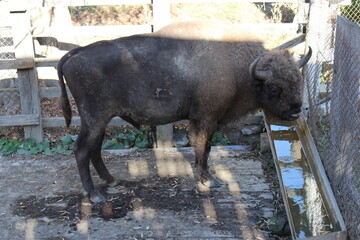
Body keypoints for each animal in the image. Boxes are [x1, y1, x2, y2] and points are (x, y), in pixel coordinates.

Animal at [57, 21, 310, 202]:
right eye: (275, 88)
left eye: (298, 79)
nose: (295, 112)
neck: (239, 69)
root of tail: (76, 53)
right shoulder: (206, 119)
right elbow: (202, 147)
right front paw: (209, 180)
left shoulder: (209, 120)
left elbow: (205, 148)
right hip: (94, 119)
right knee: (81, 150)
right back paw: (95, 195)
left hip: (101, 120)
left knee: (95, 149)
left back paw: (111, 181)